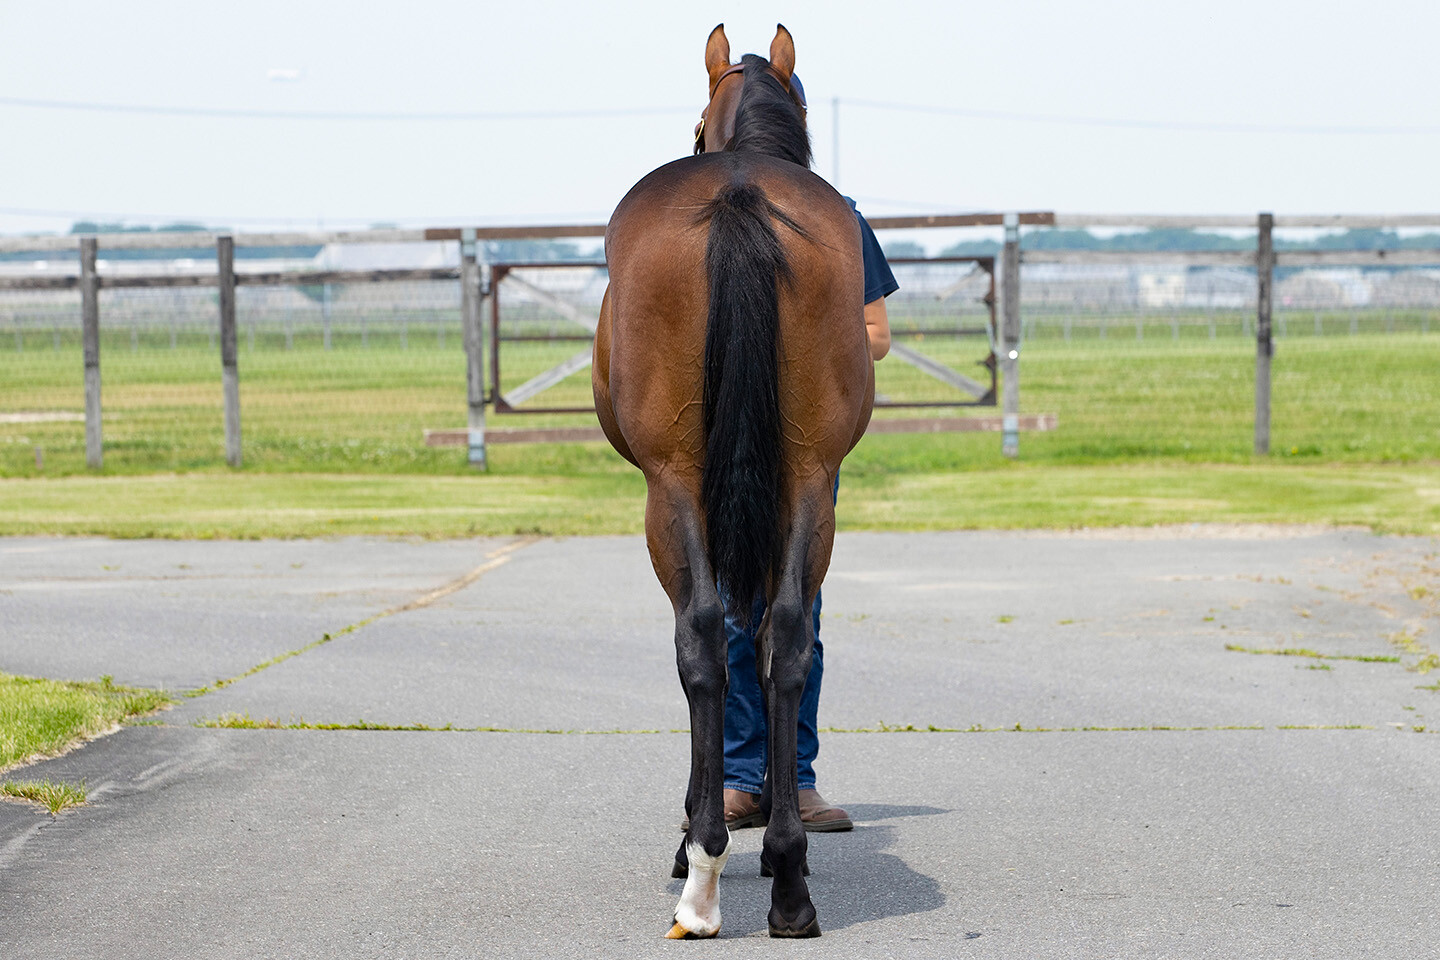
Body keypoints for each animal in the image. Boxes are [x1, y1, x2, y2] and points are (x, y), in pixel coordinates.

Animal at [590, 26, 869, 944]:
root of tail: (738, 194)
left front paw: (690, 837)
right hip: (809, 481)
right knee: (786, 638)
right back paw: (789, 879)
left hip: (672, 486)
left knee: (704, 637)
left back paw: (703, 873)